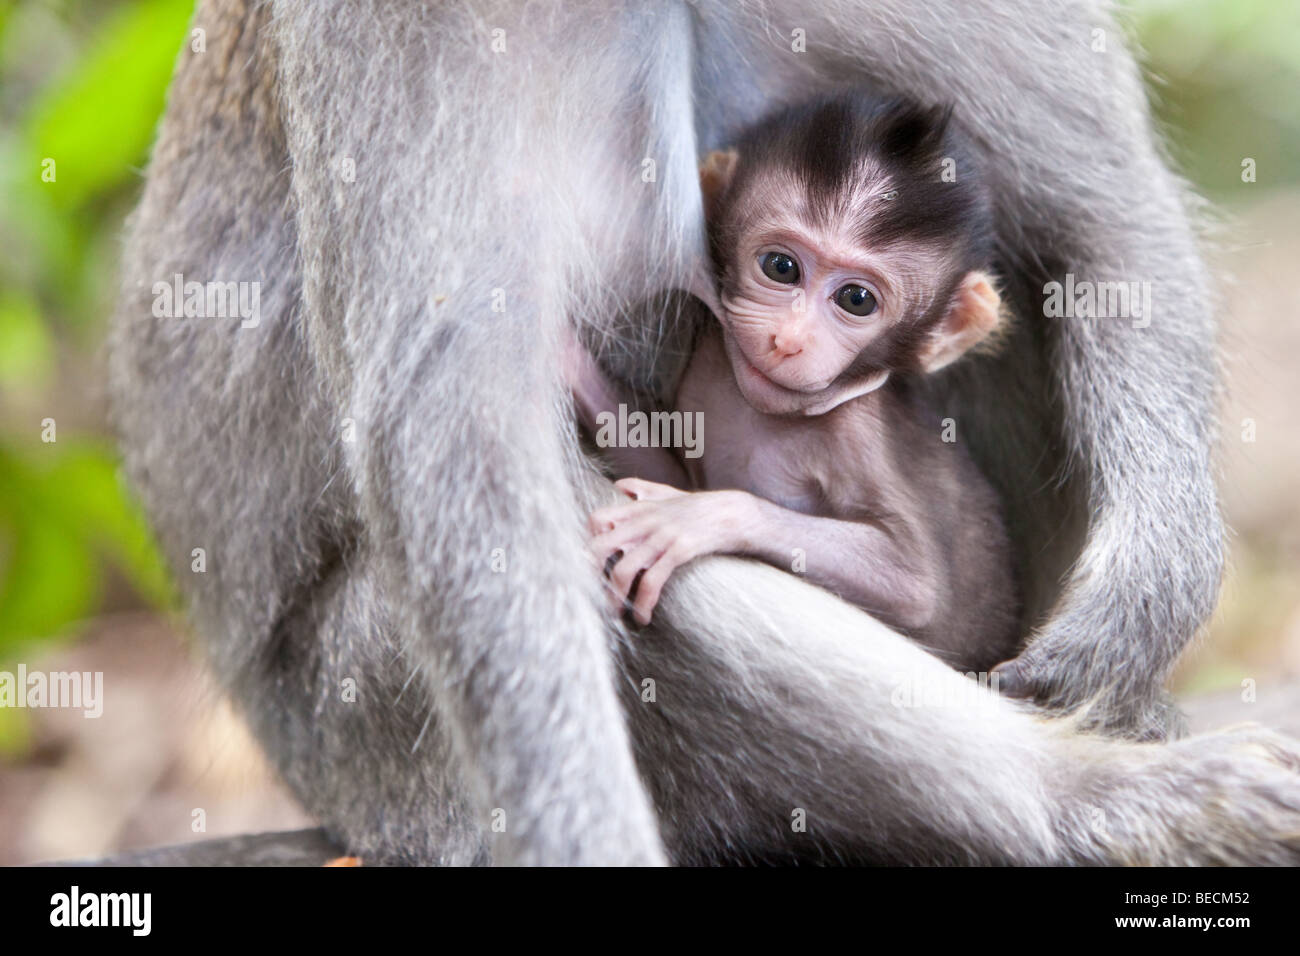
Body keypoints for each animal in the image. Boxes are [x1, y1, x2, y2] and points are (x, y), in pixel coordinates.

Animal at [569, 91, 1013, 671]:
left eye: (856, 300)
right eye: (781, 268)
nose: (790, 339)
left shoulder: (857, 435)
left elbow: (915, 586)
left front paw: (693, 519)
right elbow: (658, 474)